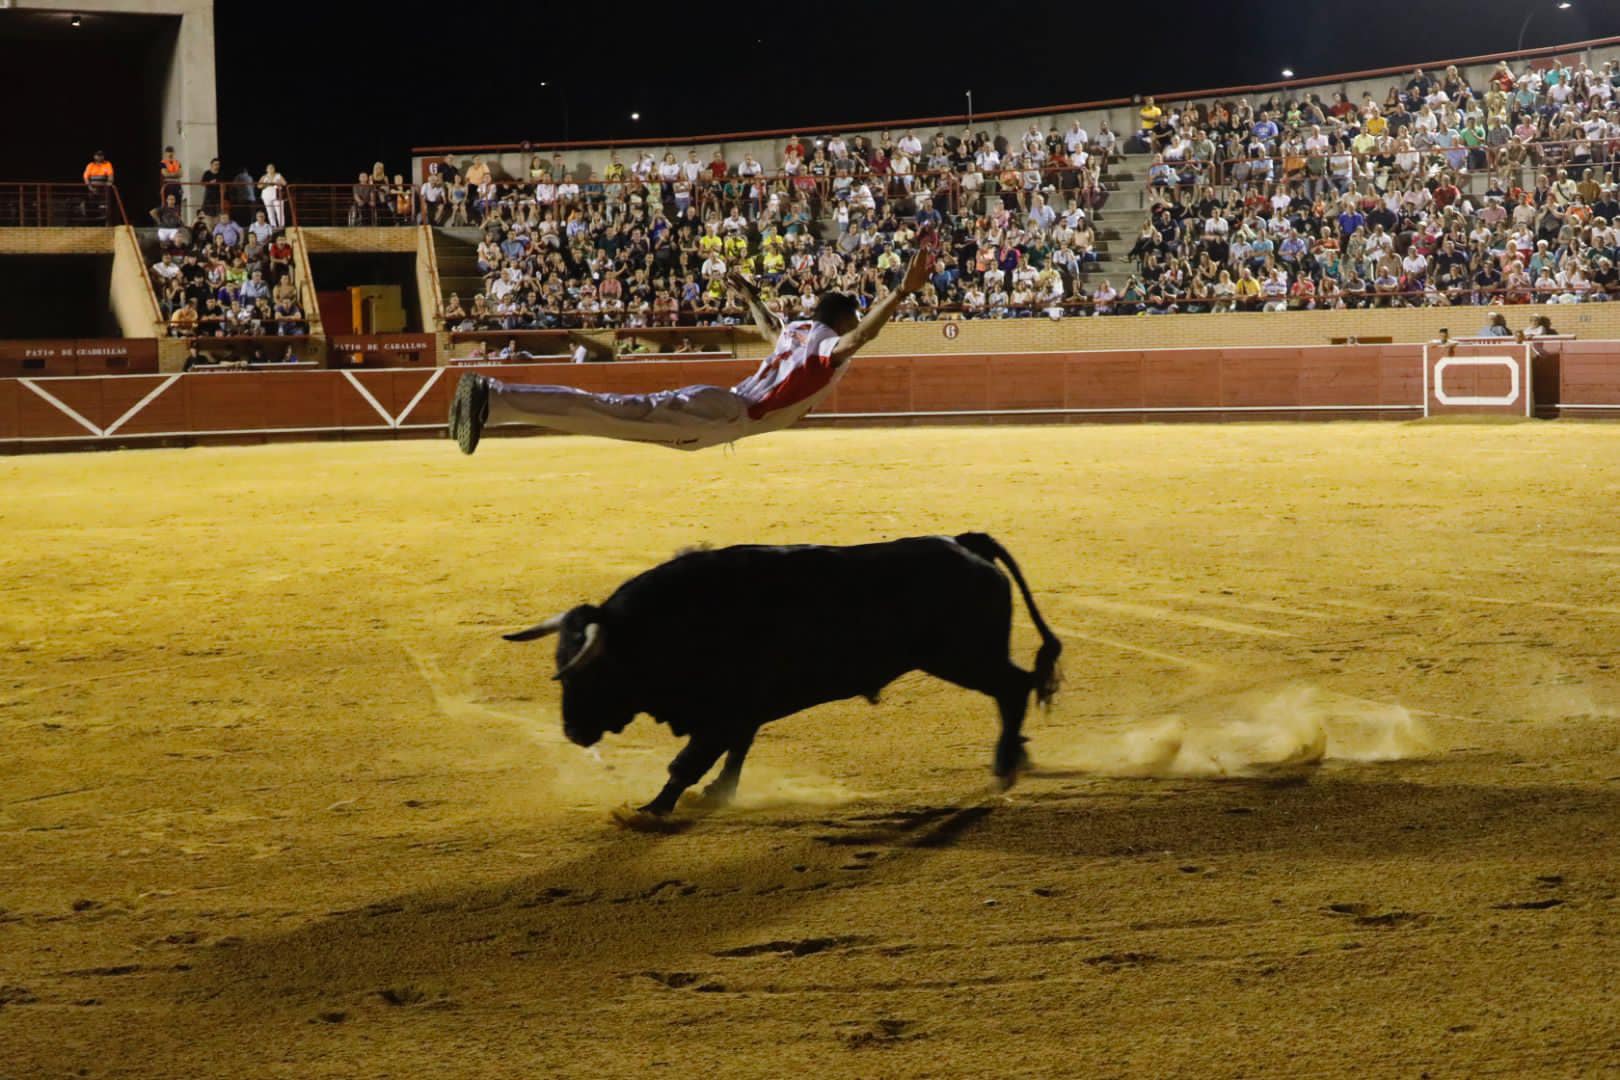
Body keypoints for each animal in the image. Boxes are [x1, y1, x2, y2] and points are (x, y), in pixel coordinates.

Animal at [503, 532, 1062, 825]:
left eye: (591, 673)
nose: (573, 732)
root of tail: (965, 543)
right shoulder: (740, 713)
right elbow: (734, 753)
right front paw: (717, 795)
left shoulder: (722, 712)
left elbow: (687, 763)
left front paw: (649, 811)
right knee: (1015, 689)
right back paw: (1020, 756)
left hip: (963, 657)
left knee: (1013, 688)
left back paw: (1004, 766)